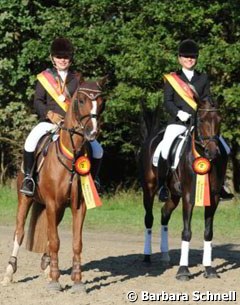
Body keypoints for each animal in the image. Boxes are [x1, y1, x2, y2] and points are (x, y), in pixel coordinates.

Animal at [0, 77, 106, 290]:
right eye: (81, 100)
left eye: (102, 102)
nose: (92, 132)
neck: (72, 157)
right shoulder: (50, 203)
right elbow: (55, 240)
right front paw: (56, 281)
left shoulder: (78, 206)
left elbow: (75, 242)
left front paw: (77, 281)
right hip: (26, 199)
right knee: (19, 232)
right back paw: (9, 273)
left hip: (59, 209)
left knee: (49, 235)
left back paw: (48, 269)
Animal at [139, 99, 227, 280]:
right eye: (201, 120)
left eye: (219, 120)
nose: (212, 152)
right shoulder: (188, 197)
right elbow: (187, 232)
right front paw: (183, 270)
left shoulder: (214, 198)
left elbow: (208, 232)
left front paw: (209, 269)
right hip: (149, 190)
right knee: (149, 219)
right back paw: (147, 256)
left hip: (173, 195)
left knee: (164, 214)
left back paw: (165, 255)